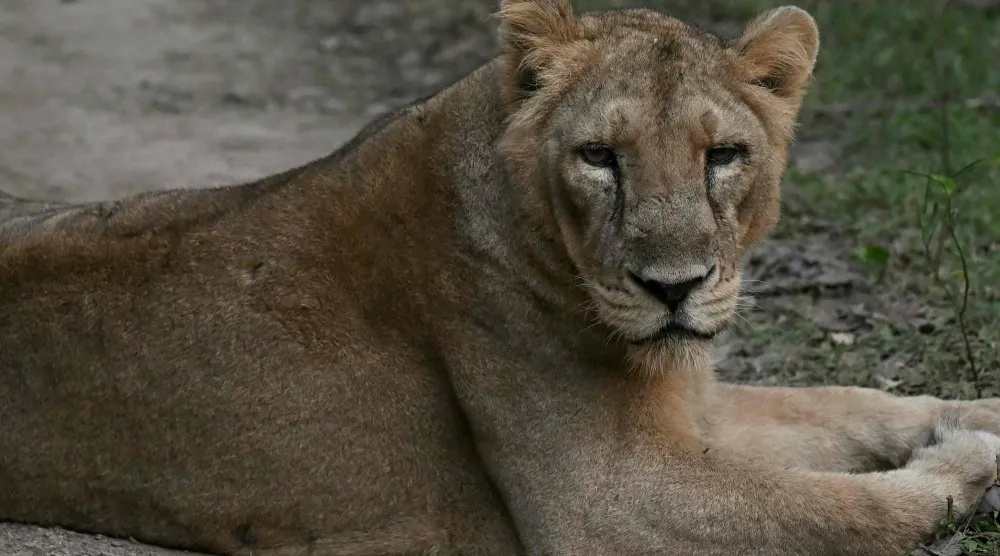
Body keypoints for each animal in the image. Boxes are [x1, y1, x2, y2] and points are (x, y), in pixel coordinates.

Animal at [2, 2, 1000, 555]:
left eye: (724, 156)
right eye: (599, 156)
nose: (673, 288)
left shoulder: (690, 408)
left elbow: (847, 402)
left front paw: (977, 417)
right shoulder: (606, 498)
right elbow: (832, 511)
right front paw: (964, 471)